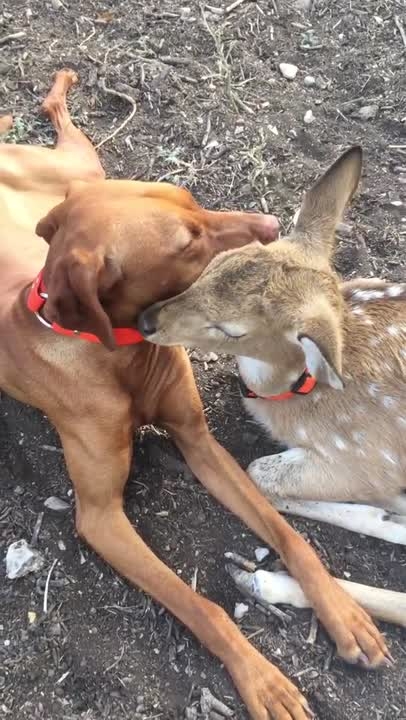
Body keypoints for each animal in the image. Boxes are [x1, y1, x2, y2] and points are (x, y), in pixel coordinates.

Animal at [0, 69, 390, 720]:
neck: (119, 353)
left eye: (191, 198)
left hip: (81, 168)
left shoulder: (200, 442)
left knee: (63, 124)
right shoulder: (101, 518)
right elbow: (201, 607)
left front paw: (344, 614)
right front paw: (263, 680)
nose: (271, 225)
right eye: (186, 241)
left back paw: (60, 88)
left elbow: (288, 534)